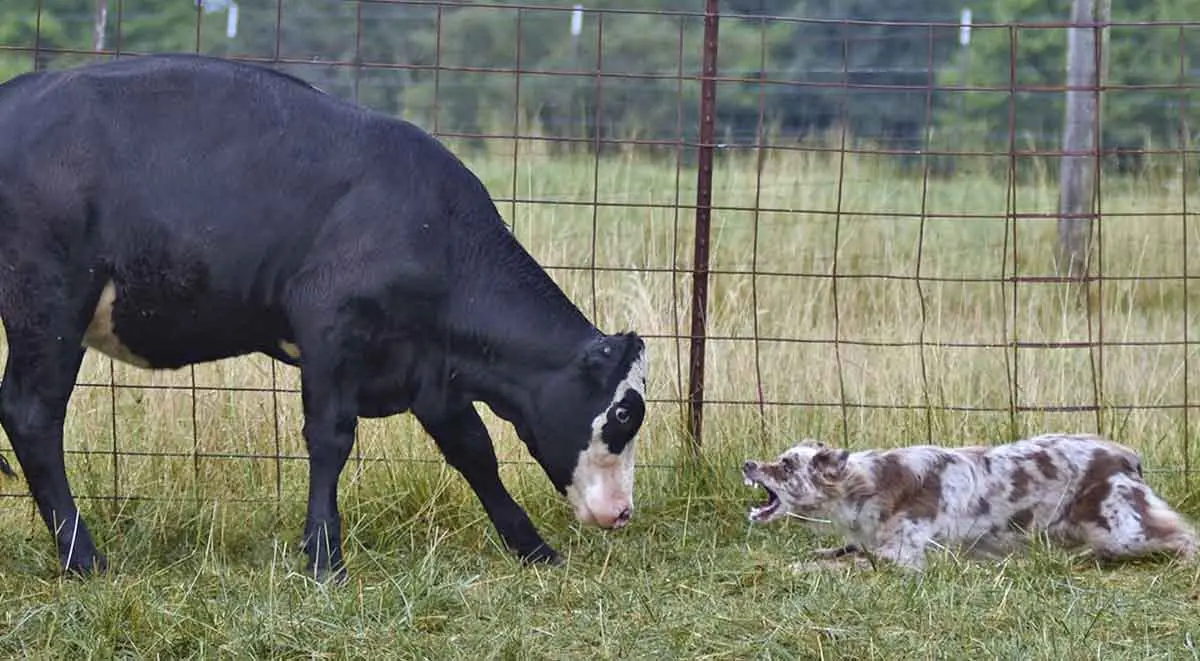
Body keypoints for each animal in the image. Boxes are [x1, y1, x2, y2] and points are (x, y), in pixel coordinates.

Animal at [0, 53, 648, 580]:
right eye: (623, 414)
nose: (622, 513)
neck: (433, 227)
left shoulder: (430, 370)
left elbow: (474, 451)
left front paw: (533, 549)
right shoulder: (330, 327)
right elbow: (331, 437)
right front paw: (324, 558)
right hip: (49, 307)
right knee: (32, 417)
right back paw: (84, 558)